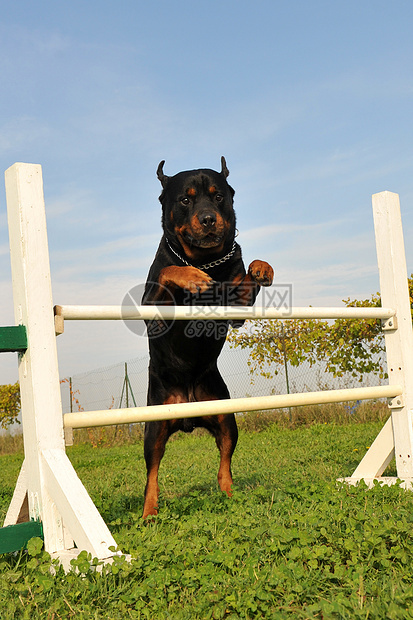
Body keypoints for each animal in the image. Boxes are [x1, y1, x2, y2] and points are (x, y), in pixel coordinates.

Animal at [142, 157, 274, 516]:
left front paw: (262, 267)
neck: (205, 259)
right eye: (185, 200)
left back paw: (229, 494)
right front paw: (191, 277)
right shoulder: (151, 312)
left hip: (226, 417)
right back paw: (148, 513)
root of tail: (188, 413)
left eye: (218, 197)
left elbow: (248, 273)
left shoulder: (236, 310)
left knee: (224, 462)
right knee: (151, 473)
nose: (208, 218)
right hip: (153, 426)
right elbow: (168, 270)